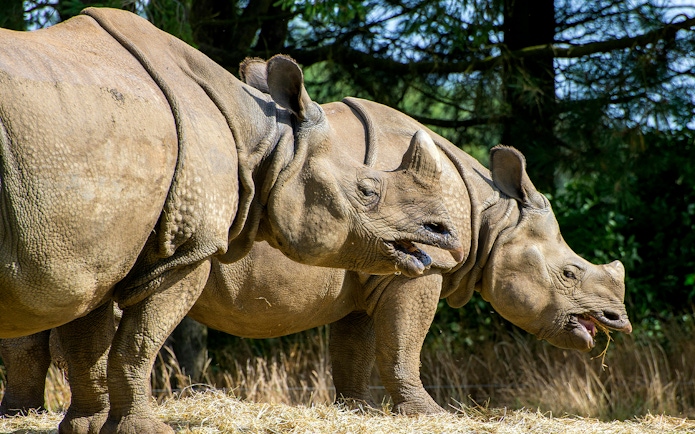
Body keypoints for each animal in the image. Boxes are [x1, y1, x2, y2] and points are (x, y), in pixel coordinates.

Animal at [0, 8, 464, 434]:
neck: (266, 143)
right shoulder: (183, 249)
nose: (443, 233)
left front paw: (85, 427)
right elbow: (137, 343)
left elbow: (89, 346)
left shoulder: (100, 246)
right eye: (368, 191)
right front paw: (143, 430)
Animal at [0, 61, 633, 421]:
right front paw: (430, 413)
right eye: (571, 272)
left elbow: (356, 350)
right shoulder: (422, 267)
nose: (618, 320)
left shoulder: (377, 264)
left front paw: (357, 409)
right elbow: (403, 346)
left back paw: (22, 413)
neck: (490, 215)